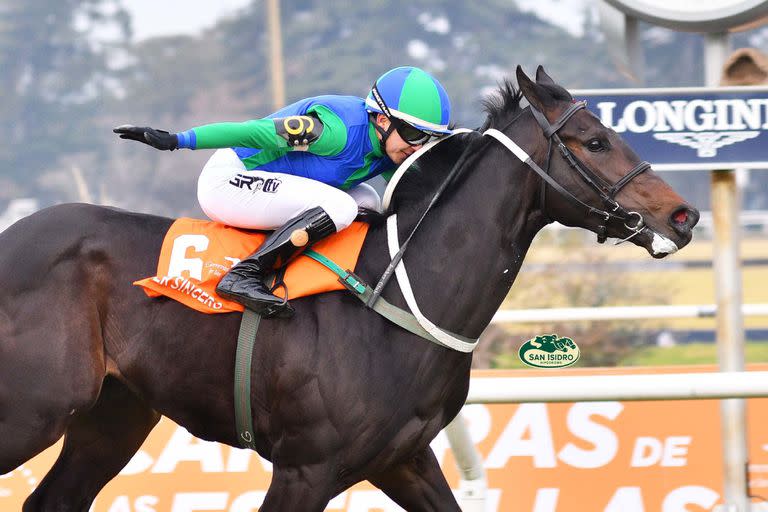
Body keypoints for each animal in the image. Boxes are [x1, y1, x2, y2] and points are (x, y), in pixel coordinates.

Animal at [0, 66, 696, 510]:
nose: (683, 216)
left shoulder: (403, 459)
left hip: (112, 414)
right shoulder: (305, 469)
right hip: (34, 409)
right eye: (595, 141)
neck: (395, 300)